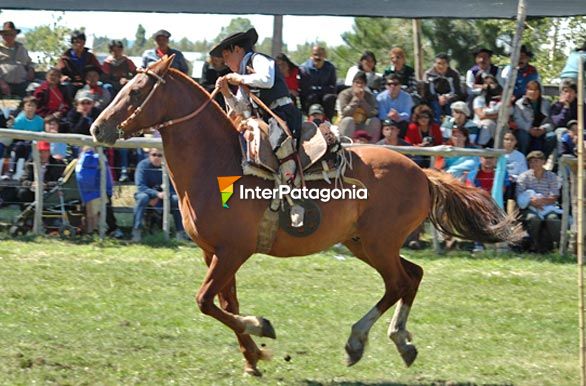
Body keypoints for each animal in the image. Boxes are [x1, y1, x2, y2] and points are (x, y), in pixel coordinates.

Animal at [91, 55, 520, 376]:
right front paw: (253, 357)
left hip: (379, 244)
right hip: (363, 243)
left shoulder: (233, 252)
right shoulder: (213, 252)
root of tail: (422, 174)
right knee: (411, 277)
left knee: (399, 282)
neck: (217, 165)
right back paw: (398, 342)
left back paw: (359, 341)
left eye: (137, 90)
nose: (98, 127)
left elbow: (206, 302)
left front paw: (261, 327)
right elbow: (225, 304)